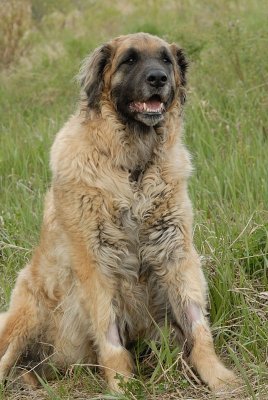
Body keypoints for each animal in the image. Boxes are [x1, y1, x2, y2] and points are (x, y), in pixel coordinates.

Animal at [0, 32, 237, 392]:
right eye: (130, 60)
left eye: (165, 59)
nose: (158, 79)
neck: (133, 167)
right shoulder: (96, 262)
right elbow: (109, 334)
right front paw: (122, 386)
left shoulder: (175, 252)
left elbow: (197, 326)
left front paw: (218, 376)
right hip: (27, 313)